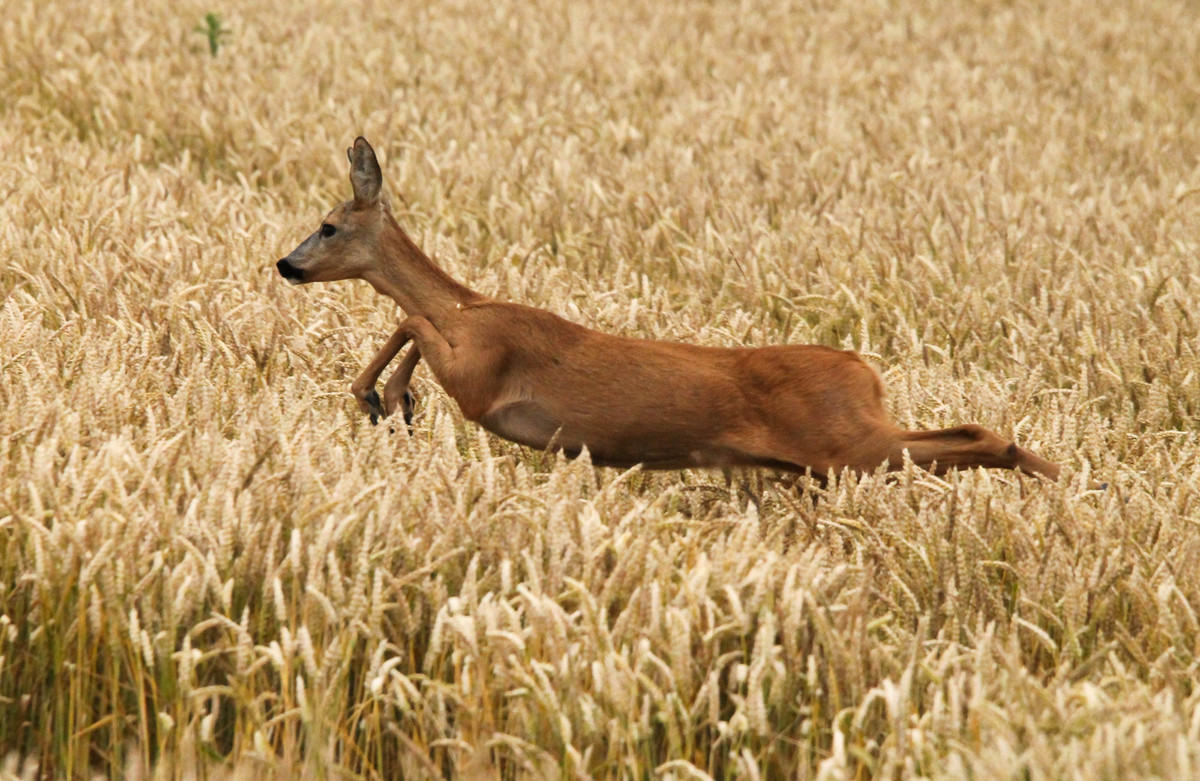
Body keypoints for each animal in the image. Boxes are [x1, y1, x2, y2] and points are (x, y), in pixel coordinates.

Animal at [278, 137, 1060, 484]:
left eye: (327, 225)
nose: (286, 265)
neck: (472, 308)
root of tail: (863, 369)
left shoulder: (481, 380)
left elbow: (410, 319)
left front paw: (382, 396)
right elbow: (410, 321)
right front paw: (391, 401)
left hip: (847, 443)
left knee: (976, 437)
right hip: (841, 450)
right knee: (970, 431)